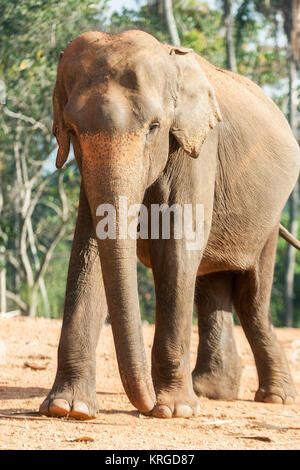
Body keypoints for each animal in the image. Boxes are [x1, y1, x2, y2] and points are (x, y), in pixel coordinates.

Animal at [39, 29, 300, 418]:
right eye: (72, 130)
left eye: (154, 128)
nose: (144, 404)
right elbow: (89, 248)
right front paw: (69, 408)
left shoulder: (197, 148)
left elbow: (177, 248)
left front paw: (173, 410)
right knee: (212, 285)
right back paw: (212, 391)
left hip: (269, 216)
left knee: (251, 298)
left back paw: (275, 397)